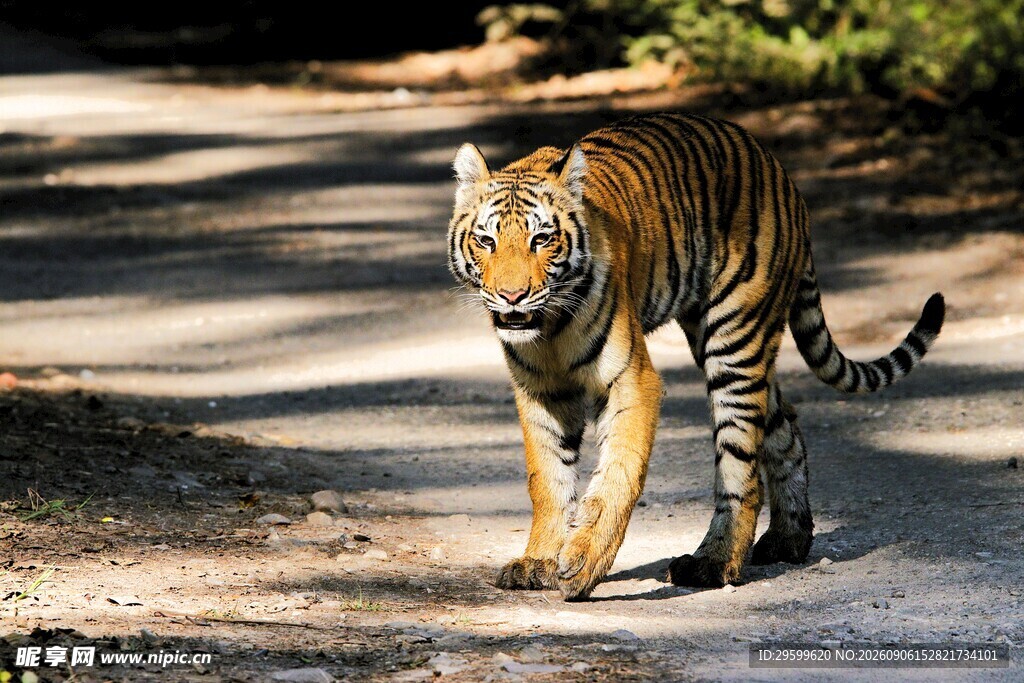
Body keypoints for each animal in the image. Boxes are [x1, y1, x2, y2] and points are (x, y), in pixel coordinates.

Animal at [446, 112, 944, 601]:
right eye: (487, 241)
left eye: (542, 240)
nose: (512, 296)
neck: (548, 328)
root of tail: (777, 168)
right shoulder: (540, 390)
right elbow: (547, 478)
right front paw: (539, 562)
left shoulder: (631, 380)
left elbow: (617, 474)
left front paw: (584, 563)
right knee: (784, 425)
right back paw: (789, 538)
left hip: (736, 340)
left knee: (741, 469)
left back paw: (714, 562)